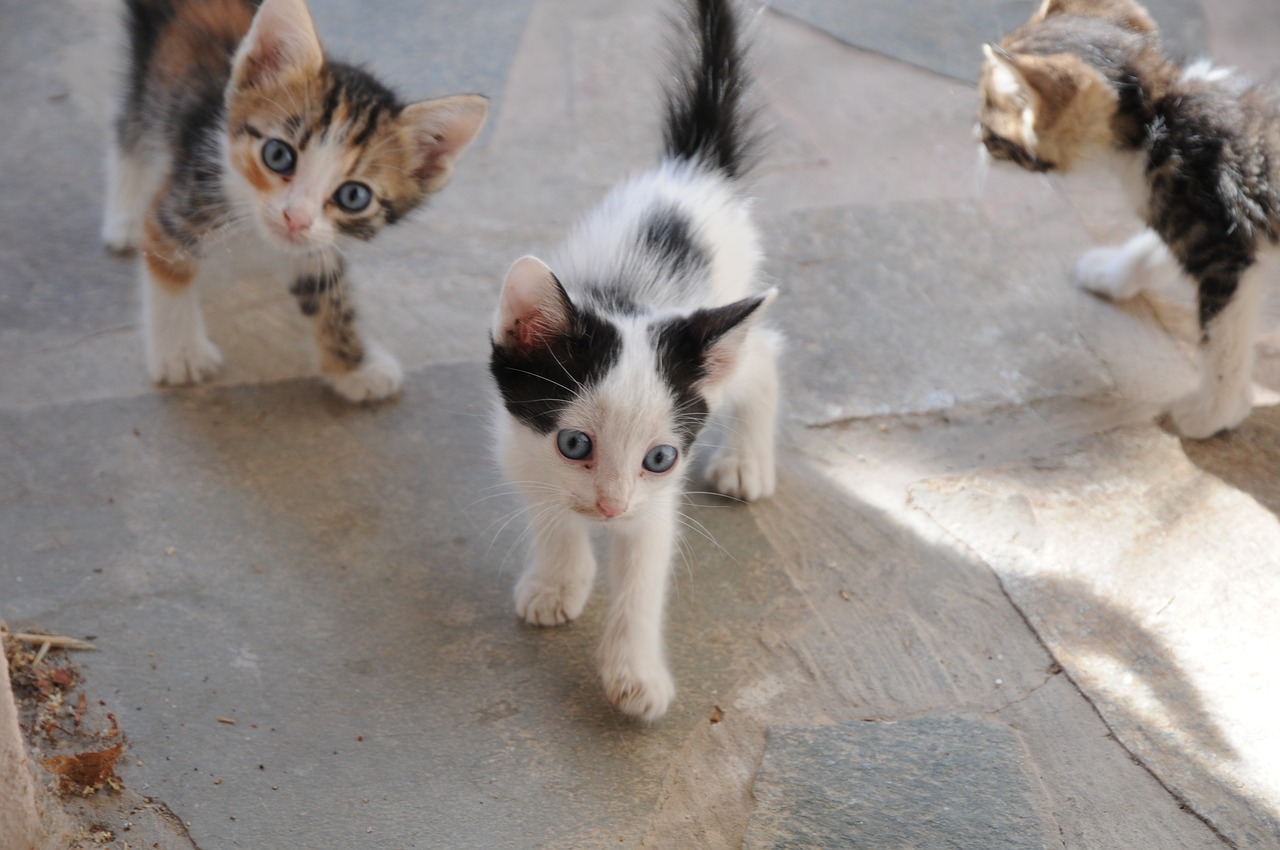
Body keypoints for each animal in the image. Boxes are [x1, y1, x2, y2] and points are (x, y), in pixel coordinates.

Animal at [101, 0, 483, 401]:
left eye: (353, 196)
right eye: (278, 155)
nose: (295, 217)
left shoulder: (317, 243)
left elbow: (328, 291)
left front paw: (354, 368)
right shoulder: (186, 198)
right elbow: (168, 264)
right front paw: (181, 354)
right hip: (144, 62)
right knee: (129, 121)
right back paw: (124, 216)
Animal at [483, 0, 773, 721]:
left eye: (660, 458)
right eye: (574, 444)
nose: (611, 507)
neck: (625, 301)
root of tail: (690, 170)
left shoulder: (655, 502)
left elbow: (643, 576)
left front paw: (634, 676)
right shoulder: (519, 449)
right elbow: (550, 514)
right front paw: (559, 581)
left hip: (723, 330)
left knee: (764, 356)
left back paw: (748, 461)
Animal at [977, 0, 1280, 437]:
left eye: (990, 127)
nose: (975, 137)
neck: (1157, 113)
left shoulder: (1223, 250)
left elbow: (1222, 340)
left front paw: (1213, 412)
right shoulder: (1189, 217)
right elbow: (1153, 248)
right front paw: (1112, 273)